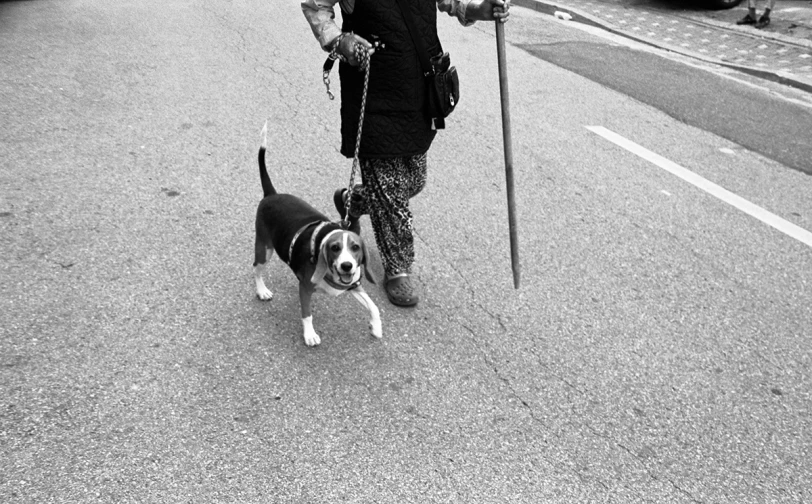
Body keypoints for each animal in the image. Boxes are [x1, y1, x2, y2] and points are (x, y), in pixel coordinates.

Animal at [254, 122, 380, 346]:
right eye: (334, 248)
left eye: (355, 247)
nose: (346, 266)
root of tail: (271, 194)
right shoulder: (305, 288)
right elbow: (307, 314)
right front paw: (309, 334)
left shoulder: (353, 284)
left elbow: (373, 305)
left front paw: (376, 327)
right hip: (264, 249)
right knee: (257, 270)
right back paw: (261, 291)